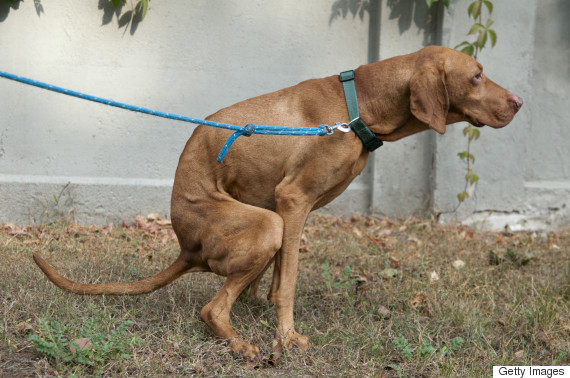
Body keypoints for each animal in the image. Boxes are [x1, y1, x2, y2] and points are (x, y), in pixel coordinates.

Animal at [32, 46, 520, 360]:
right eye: (477, 74)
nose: (518, 102)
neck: (357, 108)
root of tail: (186, 248)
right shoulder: (292, 201)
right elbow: (288, 286)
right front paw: (286, 339)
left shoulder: (294, 210)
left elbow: (282, 276)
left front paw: (276, 321)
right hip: (265, 223)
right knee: (212, 308)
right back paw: (238, 342)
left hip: (267, 224)